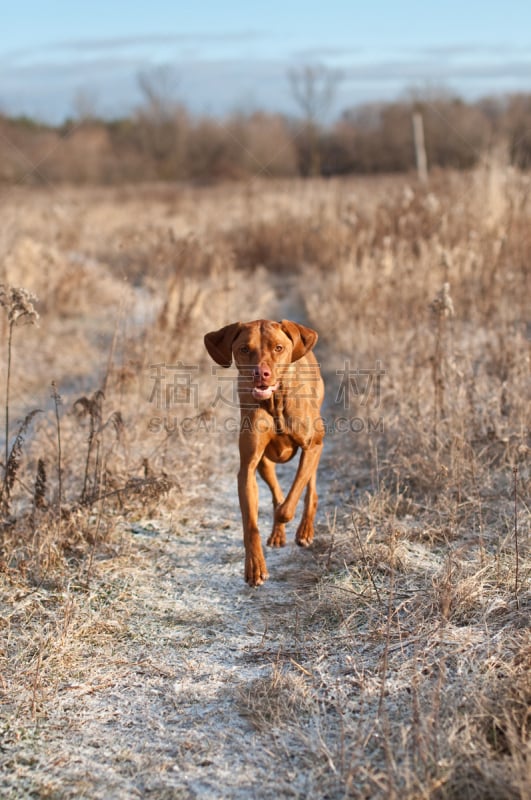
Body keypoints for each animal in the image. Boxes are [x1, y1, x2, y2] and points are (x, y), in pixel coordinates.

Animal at [207, 318, 324, 588]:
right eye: (244, 349)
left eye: (278, 348)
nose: (261, 374)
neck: (275, 403)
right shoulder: (247, 468)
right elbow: (251, 523)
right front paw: (255, 567)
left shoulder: (313, 445)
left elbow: (288, 506)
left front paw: (285, 521)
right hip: (263, 464)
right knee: (276, 491)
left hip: (316, 445)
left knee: (310, 489)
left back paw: (305, 530)